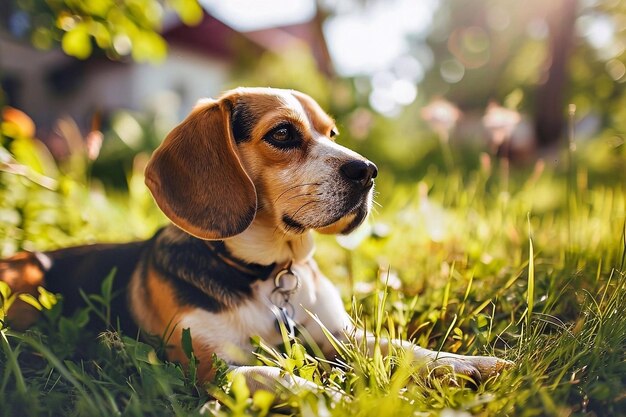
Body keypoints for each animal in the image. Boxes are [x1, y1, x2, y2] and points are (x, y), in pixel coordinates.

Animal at [0, 87, 508, 394]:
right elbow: (275, 374)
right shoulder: (210, 366)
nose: (368, 171)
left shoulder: (340, 334)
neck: (268, 275)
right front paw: (330, 396)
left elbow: (404, 348)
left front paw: (470, 363)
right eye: (282, 133)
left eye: (331, 133)